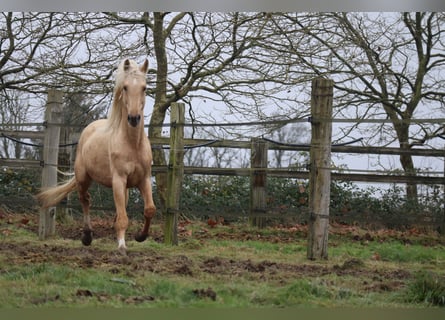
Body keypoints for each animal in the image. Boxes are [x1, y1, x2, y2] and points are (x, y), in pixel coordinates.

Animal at [37, 58, 157, 254]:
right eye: (125, 87)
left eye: (144, 87)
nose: (133, 118)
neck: (132, 144)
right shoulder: (118, 180)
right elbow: (123, 217)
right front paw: (122, 247)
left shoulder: (144, 179)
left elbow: (149, 210)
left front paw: (140, 236)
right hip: (83, 178)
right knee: (85, 200)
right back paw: (87, 236)